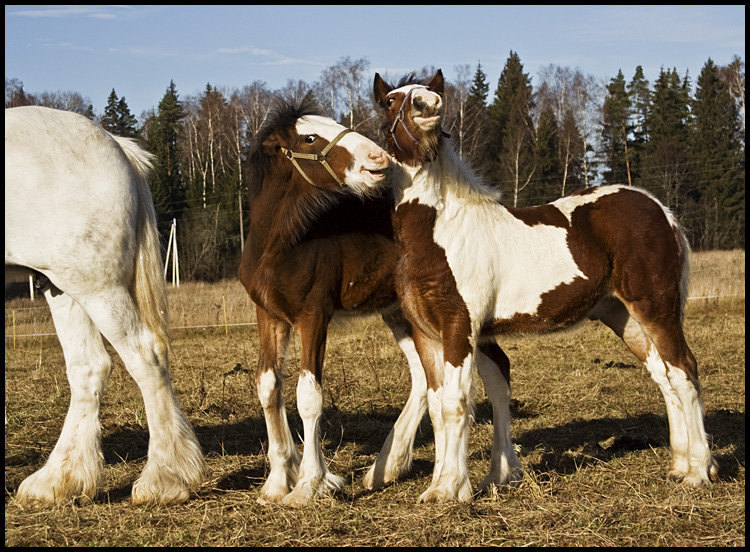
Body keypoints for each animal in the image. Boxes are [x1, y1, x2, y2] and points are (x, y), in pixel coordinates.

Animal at [4, 105, 206, 506]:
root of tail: (115, 144)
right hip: (62, 284)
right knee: (89, 367)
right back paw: (59, 479)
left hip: (95, 286)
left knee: (146, 355)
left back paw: (166, 477)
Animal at [374, 71, 716, 502]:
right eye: (391, 100)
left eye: (434, 95)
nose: (428, 108)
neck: (440, 230)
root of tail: (661, 210)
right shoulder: (426, 334)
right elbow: (436, 407)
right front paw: (444, 483)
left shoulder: (459, 328)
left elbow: (455, 403)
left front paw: (451, 488)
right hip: (625, 317)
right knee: (665, 375)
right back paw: (679, 465)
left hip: (657, 308)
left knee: (684, 370)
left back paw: (698, 472)